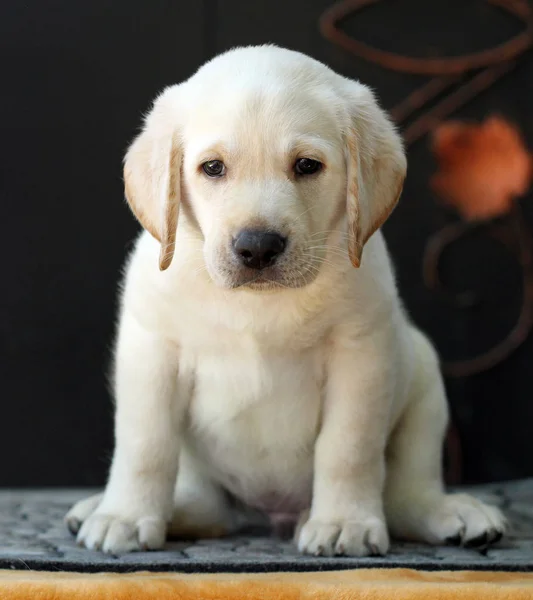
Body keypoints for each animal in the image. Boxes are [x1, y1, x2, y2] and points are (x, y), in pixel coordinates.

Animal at [64, 44, 504, 556]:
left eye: (307, 166)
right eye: (212, 168)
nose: (257, 247)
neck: (260, 305)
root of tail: (269, 515)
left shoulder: (361, 356)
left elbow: (348, 448)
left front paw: (344, 523)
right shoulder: (152, 351)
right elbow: (145, 445)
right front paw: (125, 516)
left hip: (424, 378)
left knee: (406, 492)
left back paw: (450, 512)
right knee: (206, 506)